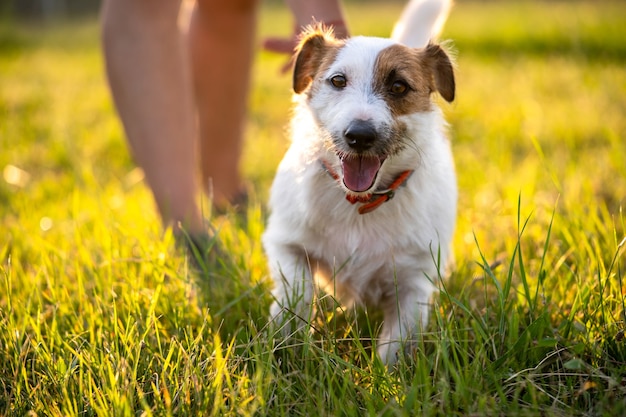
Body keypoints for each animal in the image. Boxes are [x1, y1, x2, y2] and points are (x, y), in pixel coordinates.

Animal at [260, 11, 456, 362]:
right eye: (338, 81)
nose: (360, 136)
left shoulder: (415, 280)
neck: (357, 203)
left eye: (399, 86)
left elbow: (397, 342)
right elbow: (297, 292)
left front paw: (386, 375)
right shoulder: (286, 245)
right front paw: (288, 346)